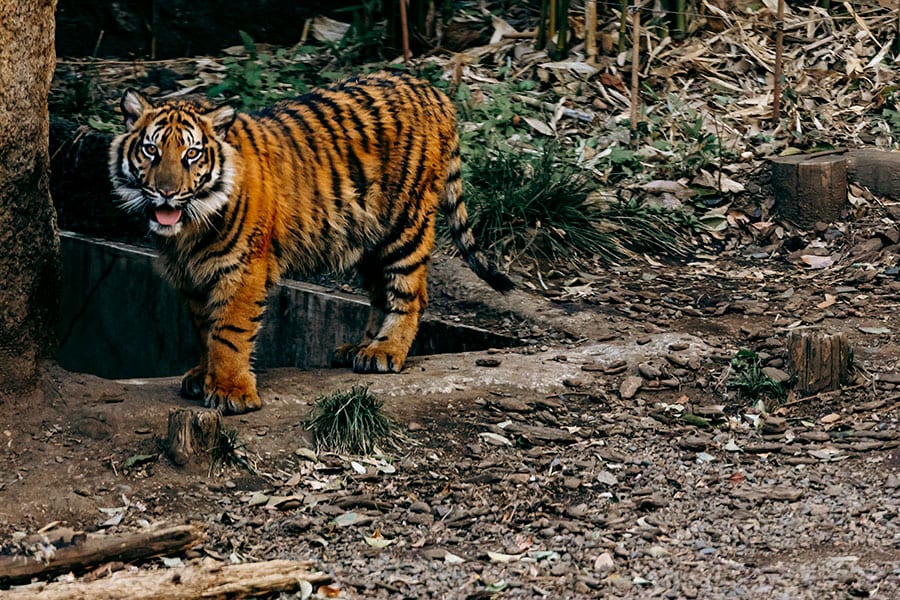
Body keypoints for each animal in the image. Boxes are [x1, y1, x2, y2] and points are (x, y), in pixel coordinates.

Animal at [108, 70, 512, 414]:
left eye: (191, 154)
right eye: (151, 150)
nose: (166, 192)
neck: (187, 231)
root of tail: (430, 89)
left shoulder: (242, 269)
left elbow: (228, 331)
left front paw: (230, 391)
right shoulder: (191, 276)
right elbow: (205, 328)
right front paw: (202, 376)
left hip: (404, 223)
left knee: (410, 292)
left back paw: (386, 351)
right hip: (367, 235)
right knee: (381, 292)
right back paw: (361, 348)